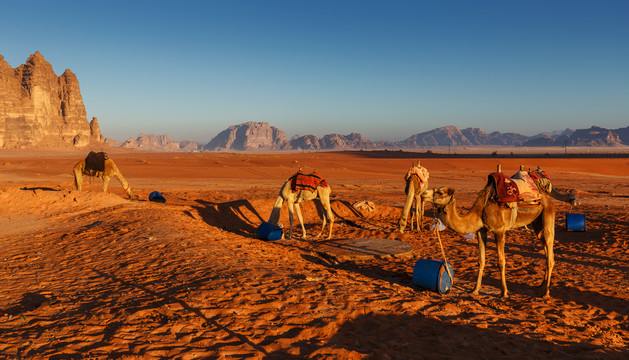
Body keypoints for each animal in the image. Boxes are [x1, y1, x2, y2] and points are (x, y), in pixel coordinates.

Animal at [422, 166, 556, 298]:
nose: (423, 194)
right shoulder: (481, 230)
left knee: (550, 256)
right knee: (545, 250)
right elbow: (481, 261)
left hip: (548, 215)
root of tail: (545, 196)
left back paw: (546, 293)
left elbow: (501, 262)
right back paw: (541, 286)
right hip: (537, 223)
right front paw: (474, 290)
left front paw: (504, 293)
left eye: (440, 192)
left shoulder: (499, 230)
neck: (481, 210)